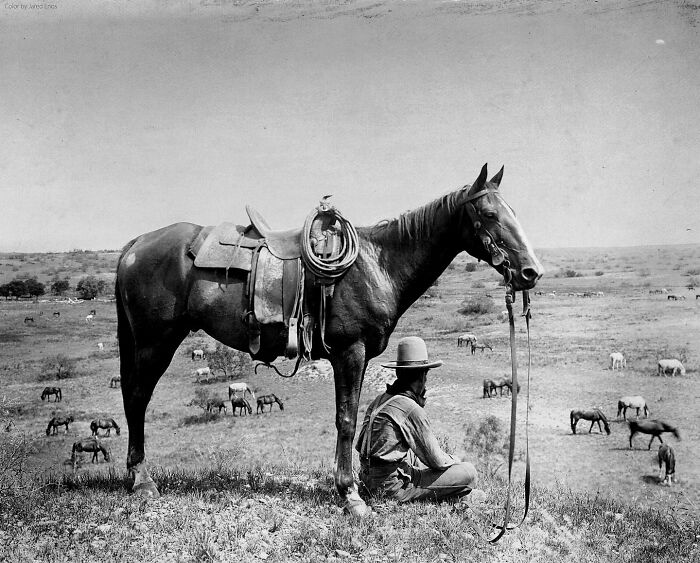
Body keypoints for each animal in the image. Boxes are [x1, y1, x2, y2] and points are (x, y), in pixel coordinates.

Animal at [115, 163, 543, 516]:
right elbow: (347, 421)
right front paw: (350, 495)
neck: (378, 264)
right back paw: (142, 480)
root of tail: (135, 245)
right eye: (490, 214)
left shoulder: (357, 355)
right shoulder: (350, 352)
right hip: (155, 342)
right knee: (137, 398)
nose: (530, 272)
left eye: (514, 213)